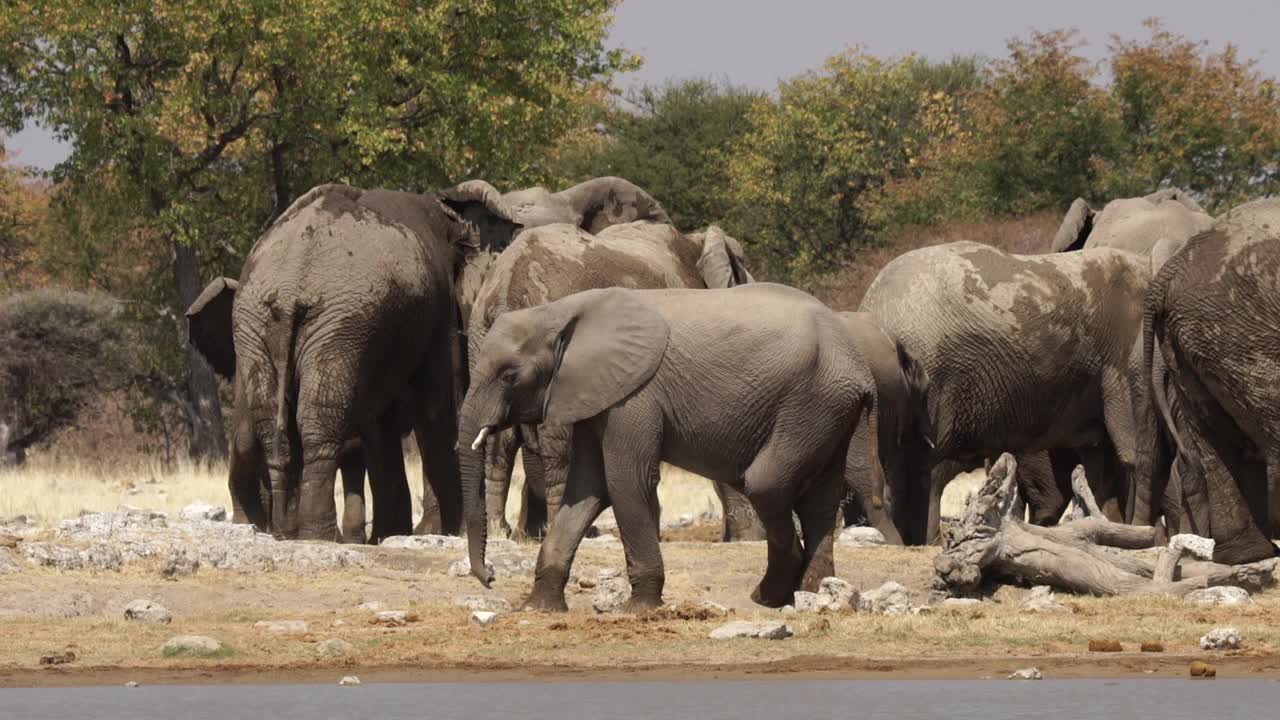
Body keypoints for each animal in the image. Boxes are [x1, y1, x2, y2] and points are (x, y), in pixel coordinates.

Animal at [458, 283, 870, 607]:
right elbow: (587, 488)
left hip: (810, 403)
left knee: (766, 483)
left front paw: (638, 608)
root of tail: (859, 365)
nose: (490, 576)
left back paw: (768, 596)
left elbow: (626, 482)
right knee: (819, 499)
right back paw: (813, 593)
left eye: (509, 375)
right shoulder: (596, 395)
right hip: (830, 408)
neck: (561, 310)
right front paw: (539, 608)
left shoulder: (634, 397)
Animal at [471, 219, 762, 538]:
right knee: (556, 441)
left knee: (497, 437)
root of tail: (506, 288)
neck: (696, 241)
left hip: (481, 337)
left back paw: (500, 531)